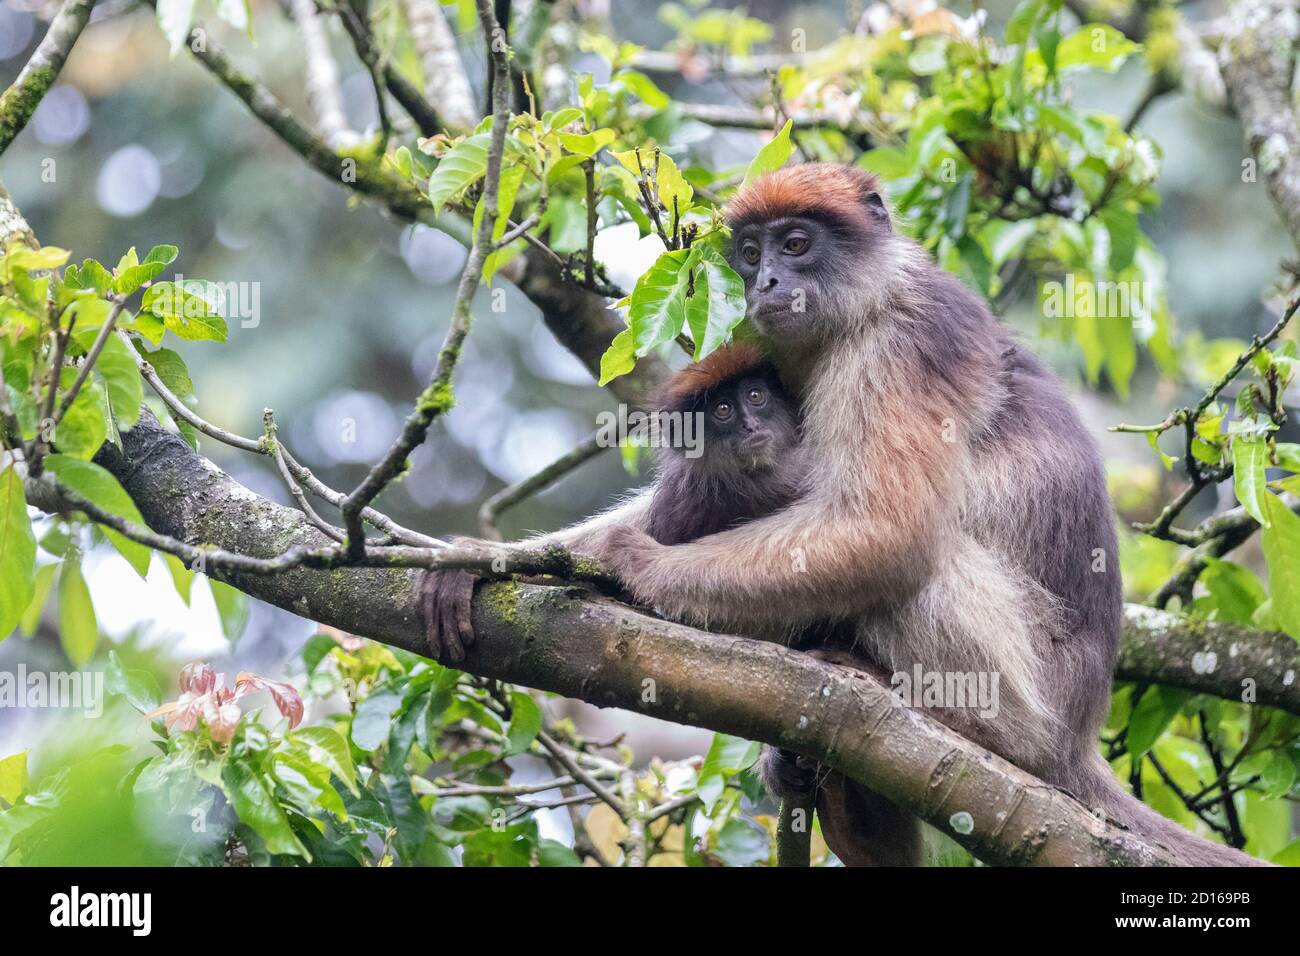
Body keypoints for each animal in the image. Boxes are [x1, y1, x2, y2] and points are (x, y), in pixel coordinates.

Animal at [431, 164, 1263, 868]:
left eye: (797, 245)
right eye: (750, 252)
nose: (767, 279)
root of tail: (1077, 739)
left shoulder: (901, 347)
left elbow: (887, 533)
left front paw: (625, 560)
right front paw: (476, 561)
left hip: (1032, 690)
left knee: (919, 559)